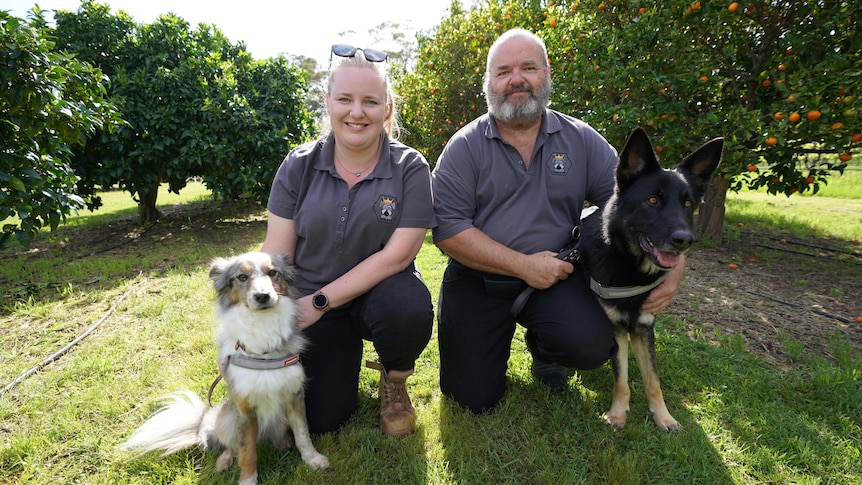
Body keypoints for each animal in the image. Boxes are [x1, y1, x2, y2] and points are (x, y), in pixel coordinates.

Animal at [123, 251, 332, 482]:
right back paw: (223, 460)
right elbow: (246, 451)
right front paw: (248, 480)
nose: (262, 296)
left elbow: (302, 434)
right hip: (225, 418)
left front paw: (313, 459)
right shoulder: (243, 408)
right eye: (242, 277)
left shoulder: (295, 395)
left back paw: (284, 442)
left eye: (272, 273)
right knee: (230, 445)